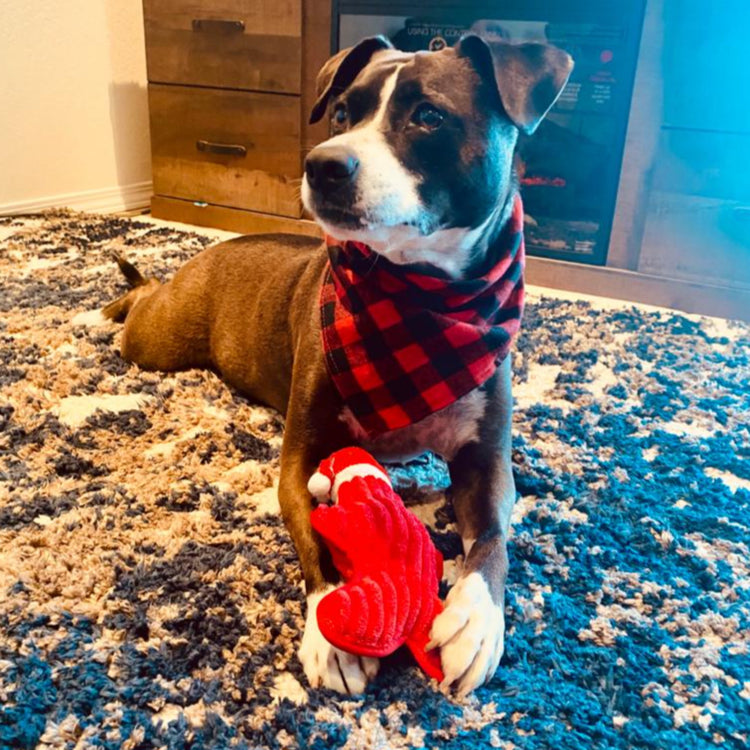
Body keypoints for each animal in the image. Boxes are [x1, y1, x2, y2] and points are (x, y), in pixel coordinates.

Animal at [104, 35, 576, 700]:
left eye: (429, 115)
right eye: (342, 114)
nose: (322, 163)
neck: (417, 303)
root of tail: (213, 247)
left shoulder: (485, 463)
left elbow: (494, 539)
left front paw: (475, 620)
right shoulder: (301, 459)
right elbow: (318, 540)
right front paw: (334, 635)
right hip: (158, 340)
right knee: (141, 300)